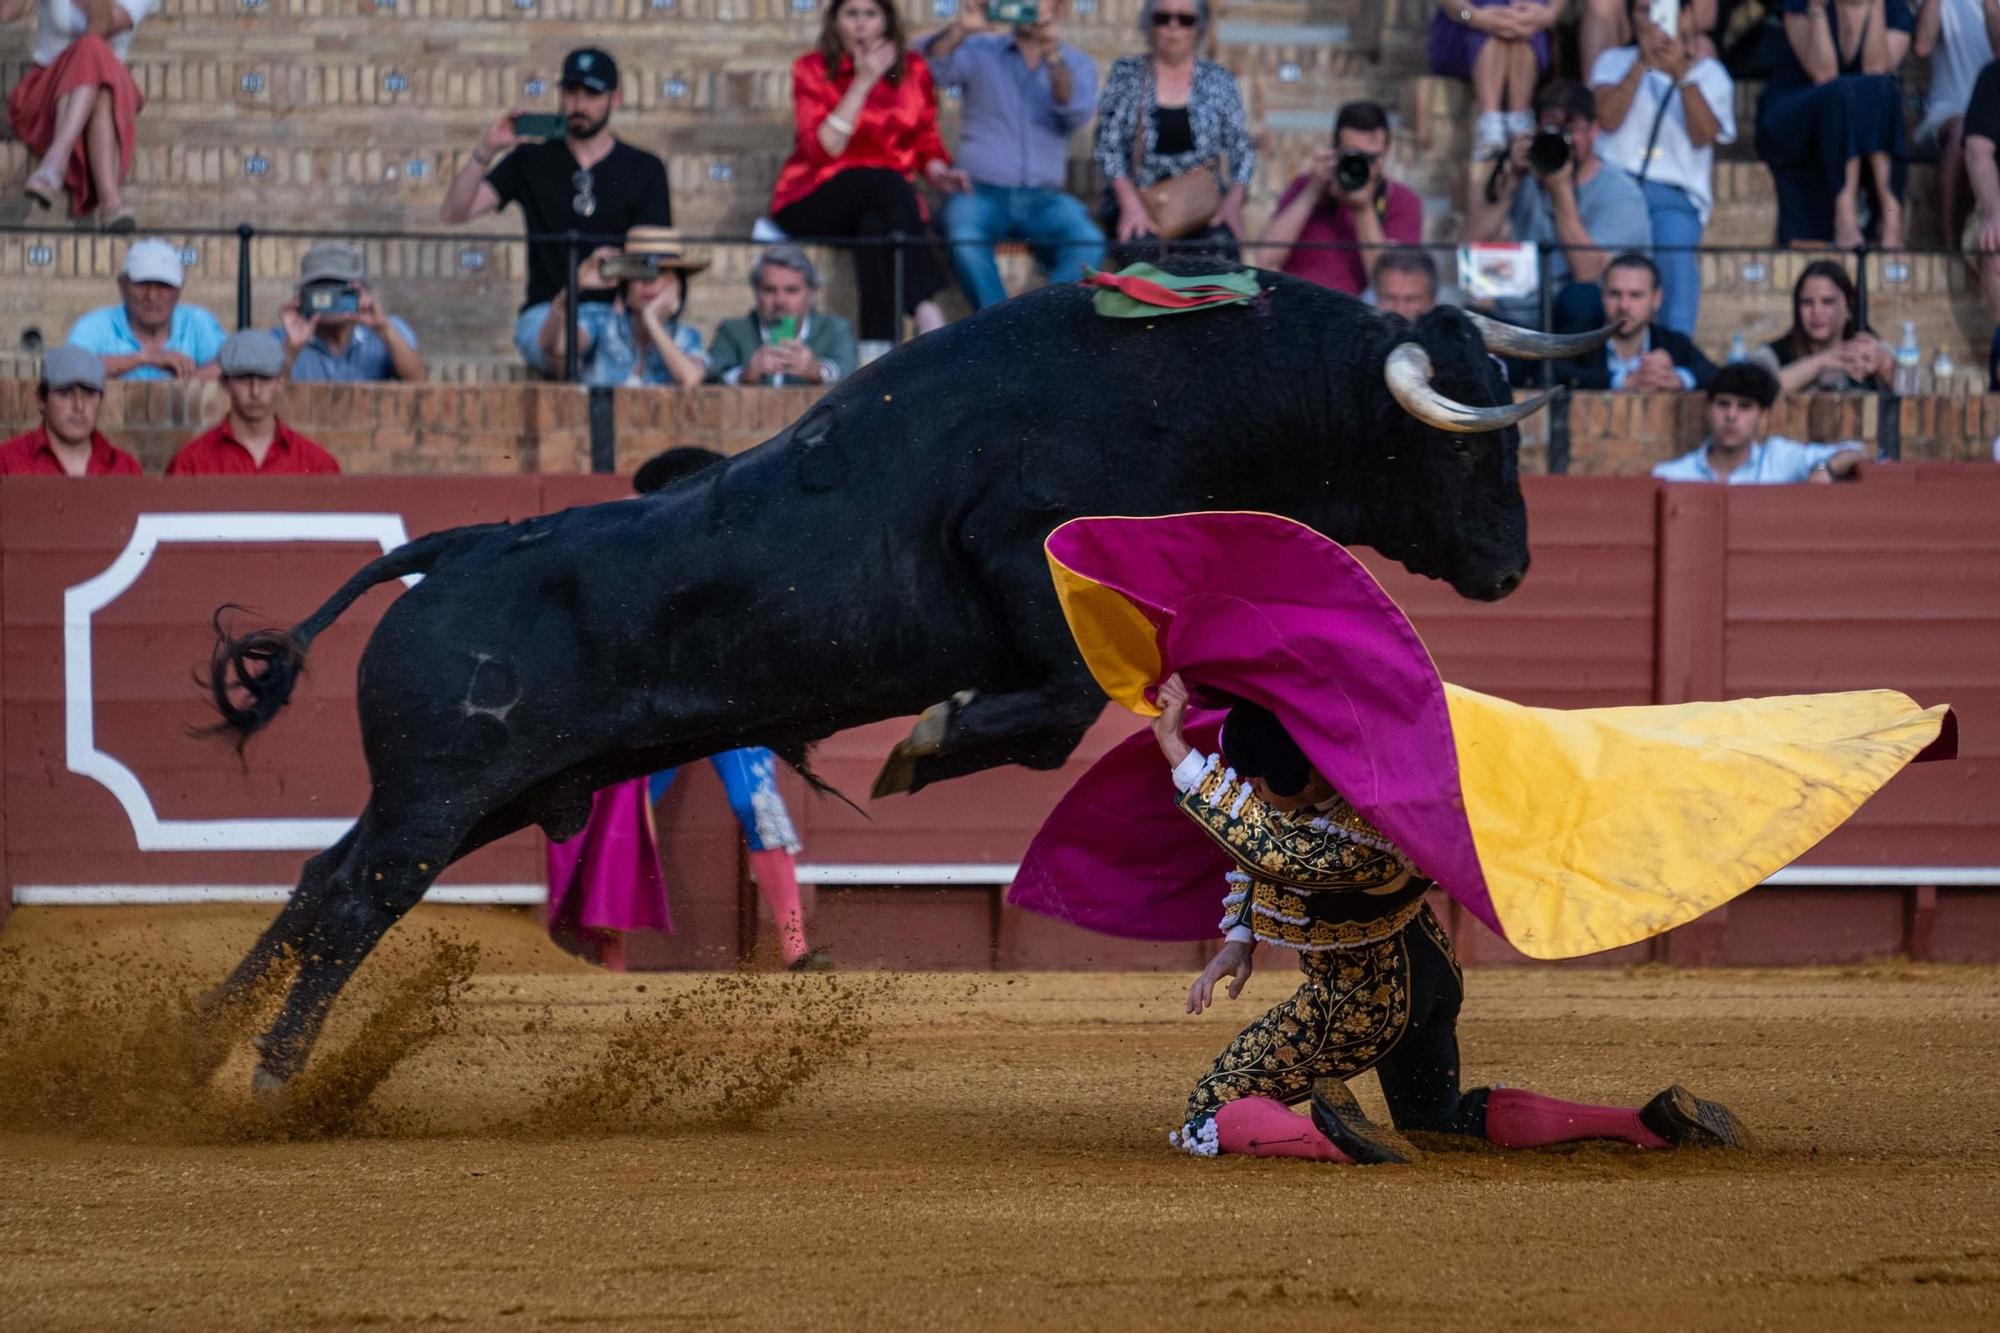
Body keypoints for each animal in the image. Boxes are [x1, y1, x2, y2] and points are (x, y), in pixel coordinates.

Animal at [203, 264, 1608, 1088]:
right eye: (1465, 449)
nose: (1511, 565)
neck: (1199, 386)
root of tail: (457, 547)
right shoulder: (1029, 566)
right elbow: (1051, 712)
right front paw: (921, 743)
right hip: (444, 790)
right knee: (357, 897)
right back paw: (270, 1074)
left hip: (476, 795)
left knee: (321, 879)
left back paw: (194, 1048)